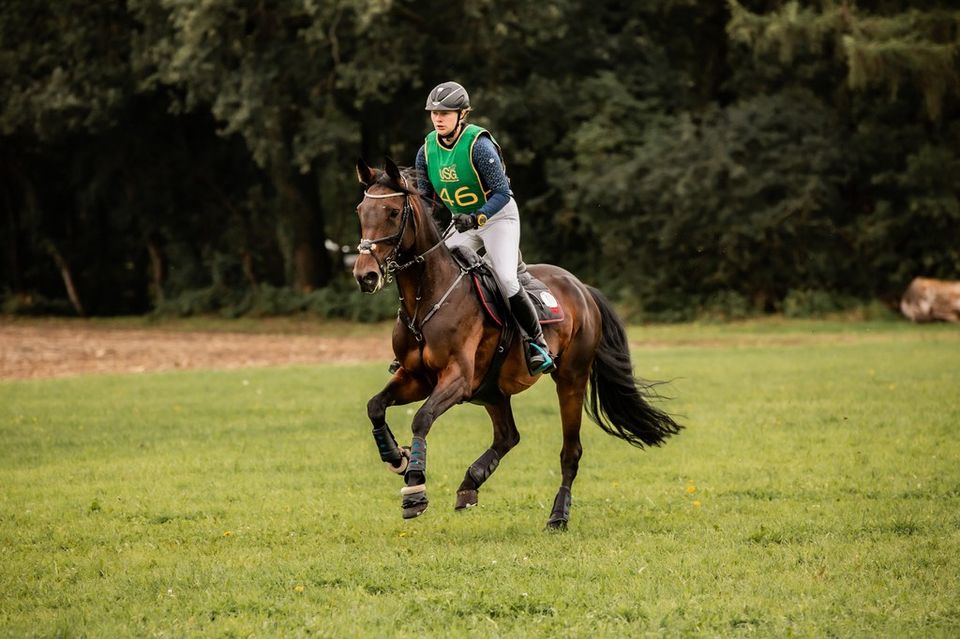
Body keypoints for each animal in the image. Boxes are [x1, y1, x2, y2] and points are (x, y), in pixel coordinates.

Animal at [354, 156, 684, 528]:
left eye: (394, 212)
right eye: (361, 210)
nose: (365, 275)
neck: (427, 299)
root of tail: (582, 288)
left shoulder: (456, 378)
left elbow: (421, 418)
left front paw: (415, 488)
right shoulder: (415, 377)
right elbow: (375, 406)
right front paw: (397, 457)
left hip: (570, 379)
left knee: (570, 451)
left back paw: (558, 515)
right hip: (491, 390)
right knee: (508, 435)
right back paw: (470, 483)